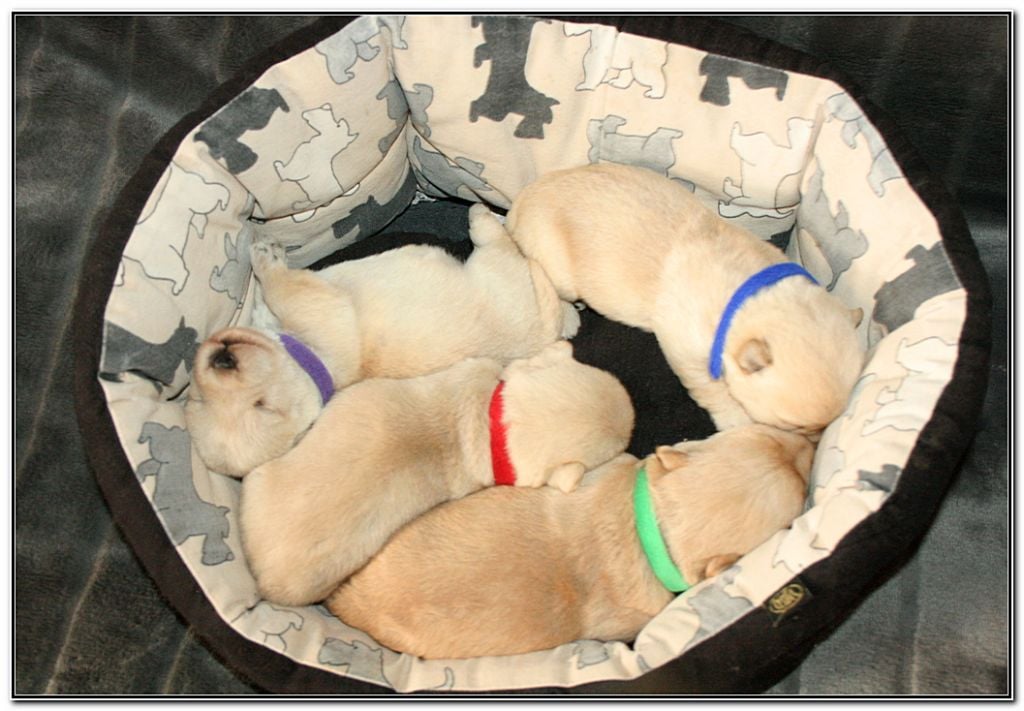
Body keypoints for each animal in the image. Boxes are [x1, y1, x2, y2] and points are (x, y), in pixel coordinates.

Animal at [185, 204, 580, 476]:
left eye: (262, 406)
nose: (222, 360)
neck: (311, 363)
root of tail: (544, 331)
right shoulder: (320, 308)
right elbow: (283, 285)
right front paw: (265, 253)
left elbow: (274, 291)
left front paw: (263, 252)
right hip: (501, 272)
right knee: (504, 246)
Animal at [506, 162, 865, 434]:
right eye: (795, 426)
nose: (815, 439)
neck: (754, 292)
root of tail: (521, 199)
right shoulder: (686, 349)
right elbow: (711, 388)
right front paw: (735, 419)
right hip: (557, 265)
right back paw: (569, 315)